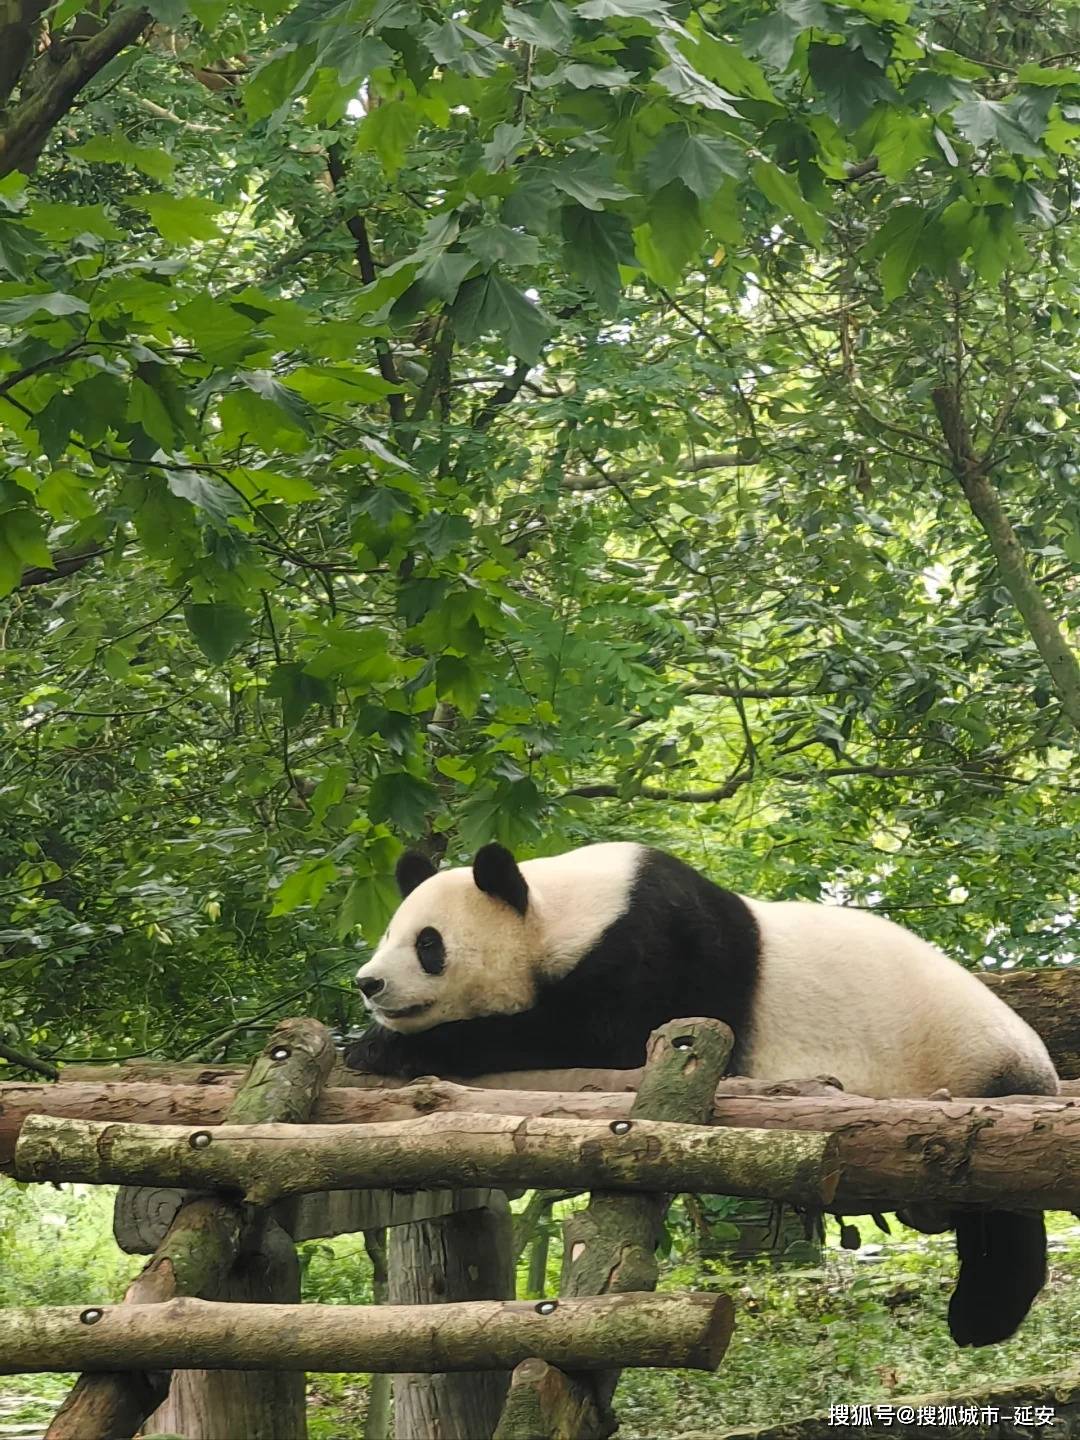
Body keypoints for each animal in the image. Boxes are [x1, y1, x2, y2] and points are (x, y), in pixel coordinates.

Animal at [348, 840, 1065, 1347]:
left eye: (429, 945)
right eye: (387, 934)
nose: (369, 983)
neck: (565, 910)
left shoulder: (656, 951)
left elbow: (588, 1037)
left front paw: (382, 1047)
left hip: (972, 1064)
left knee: (1004, 1202)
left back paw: (982, 1315)